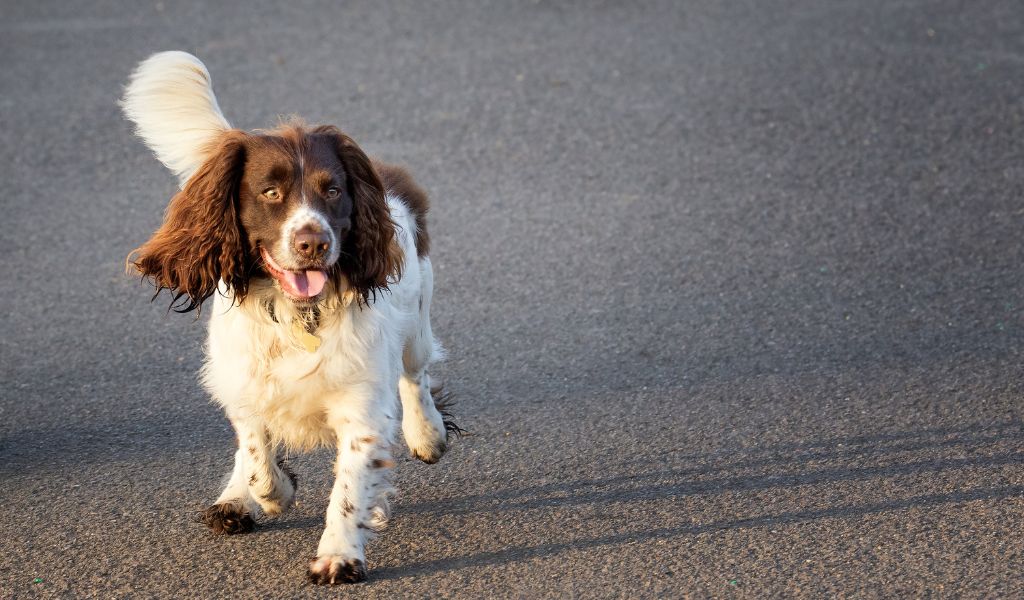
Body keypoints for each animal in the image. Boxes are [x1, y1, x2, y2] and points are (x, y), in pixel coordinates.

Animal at [119, 52, 456, 585]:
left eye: (333, 190)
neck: (299, 315)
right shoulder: (243, 382)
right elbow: (257, 453)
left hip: (417, 318)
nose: (313, 243)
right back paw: (235, 500)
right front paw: (269, 494)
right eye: (271, 192)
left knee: (415, 375)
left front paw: (338, 556)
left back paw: (427, 436)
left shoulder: (360, 405)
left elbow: (350, 485)